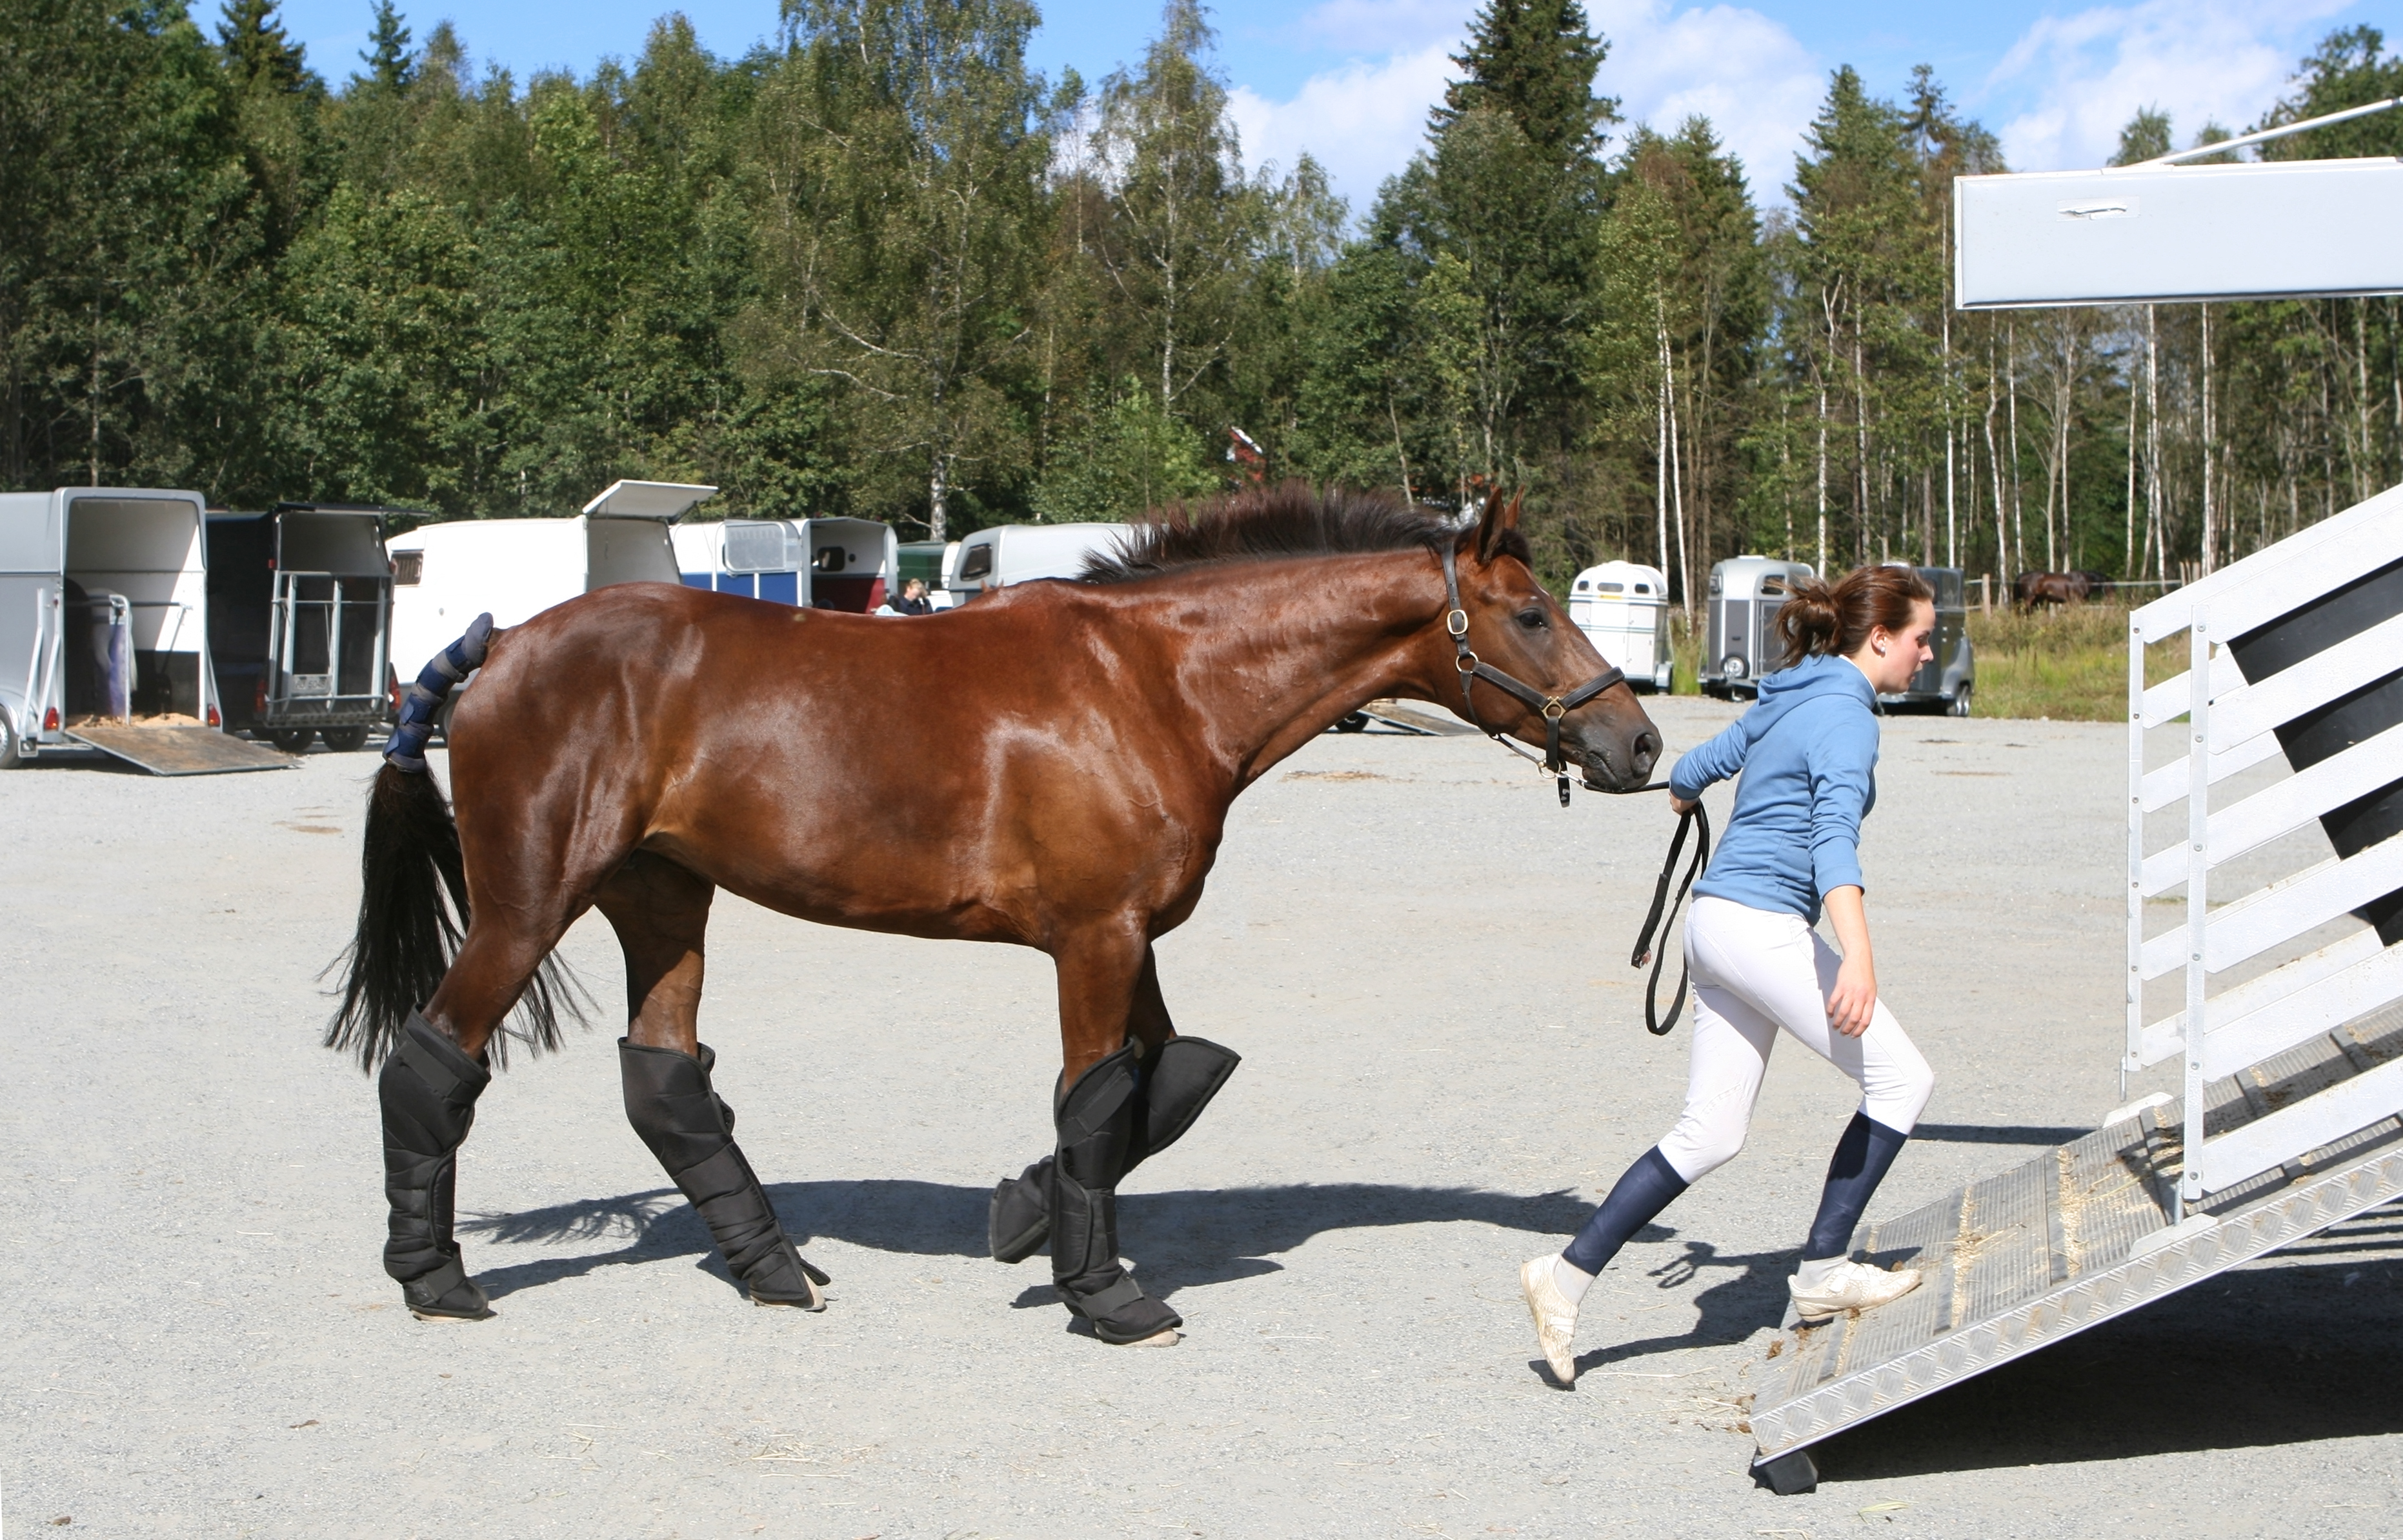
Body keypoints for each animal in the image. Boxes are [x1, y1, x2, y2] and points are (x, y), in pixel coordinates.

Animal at [329, 483, 1662, 1346]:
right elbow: (1098, 1097)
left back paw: (776, 1268)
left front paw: (1022, 1216)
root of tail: (499, 647)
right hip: (529, 903)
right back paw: (433, 1279)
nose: (1637, 741)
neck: (1150, 682)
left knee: (663, 1080)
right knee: (432, 1059)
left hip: (661, 898)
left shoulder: (1129, 937)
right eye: (1532, 613)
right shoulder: (1094, 939)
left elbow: (1173, 1075)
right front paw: (1104, 1294)